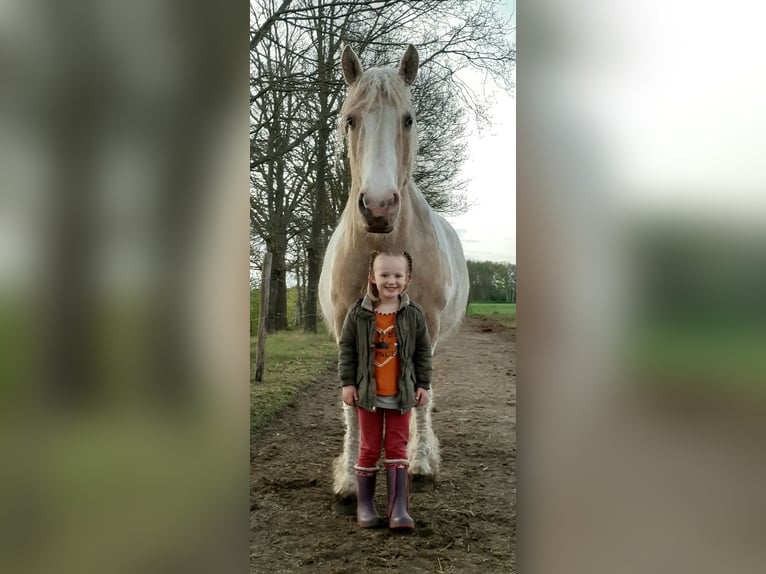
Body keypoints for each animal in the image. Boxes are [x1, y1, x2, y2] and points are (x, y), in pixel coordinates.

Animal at [318, 44, 470, 512]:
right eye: (350, 119)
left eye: (409, 119)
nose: (379, 207)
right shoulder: (346, 328)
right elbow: (352, 404)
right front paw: (350, 479)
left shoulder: (425, 326)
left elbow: (418, 395)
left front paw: (417, 463)